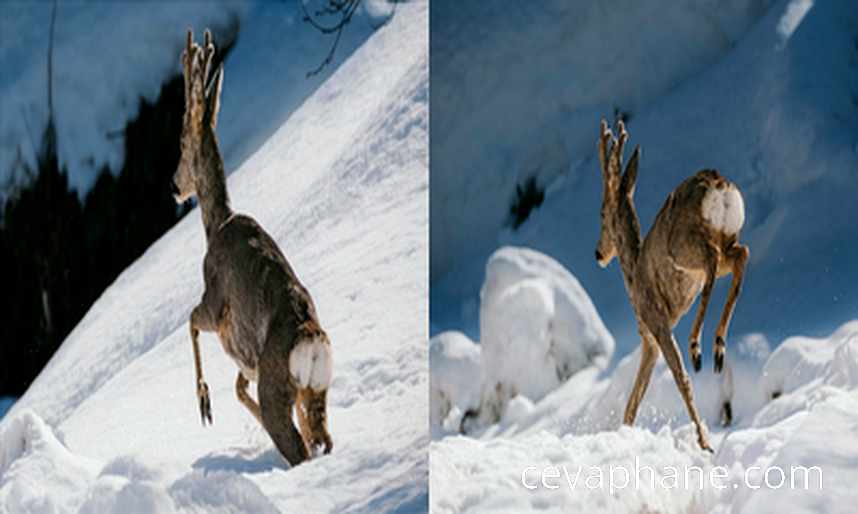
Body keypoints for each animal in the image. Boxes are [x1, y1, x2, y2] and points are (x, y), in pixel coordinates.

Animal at [172, 30, 332, 466]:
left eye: (181, 141)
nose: (174, 186)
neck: (217, 224)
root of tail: (312, 344)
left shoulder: (215, 302)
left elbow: (190, 320)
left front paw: (204, 405)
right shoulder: (244, 357)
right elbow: (239, 386)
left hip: (279, 386)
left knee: (298, 445)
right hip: (316, 391)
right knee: (321, 439)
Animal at [592, 120, 744, 448]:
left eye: (601, 213)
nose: (598, 253)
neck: (633, 273)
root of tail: (719, 183)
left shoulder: (656, 321)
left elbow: (680, 378)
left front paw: (704, 442)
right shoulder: (649, 341)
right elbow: (633, 400)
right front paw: (625, 432)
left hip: (686, 247)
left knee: (712, 264)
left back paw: (697, 346)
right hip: (728, 237)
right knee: (741, 256)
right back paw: (718, 348)